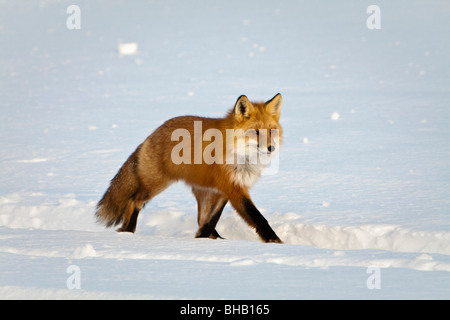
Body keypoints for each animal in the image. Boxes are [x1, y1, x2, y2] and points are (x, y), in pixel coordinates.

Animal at [96, 94, 284, 244]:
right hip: (156, 184)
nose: (271, 148)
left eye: (271, 131)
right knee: (133, 201)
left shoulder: (225, 189)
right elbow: (258, 218)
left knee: (201, 218)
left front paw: (202, 238)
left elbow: (212, 219)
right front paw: (274, 241)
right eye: (256, 132)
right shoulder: (233, 188)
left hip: (203, 191)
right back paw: (127, 231)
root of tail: (152, 133)